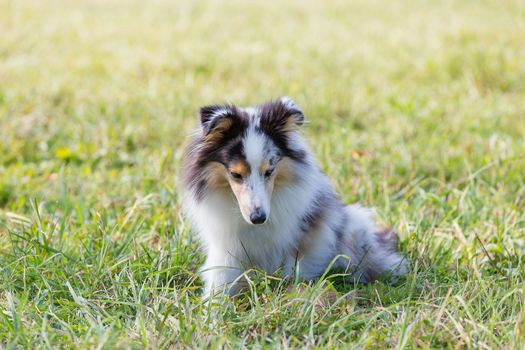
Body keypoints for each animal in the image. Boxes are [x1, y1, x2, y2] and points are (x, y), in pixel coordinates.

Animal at [182, 97, 408, 300]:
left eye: (269, 171)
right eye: (235, 174)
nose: (258, 218)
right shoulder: (226, 247)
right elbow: (219, 280)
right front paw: (214, 309)